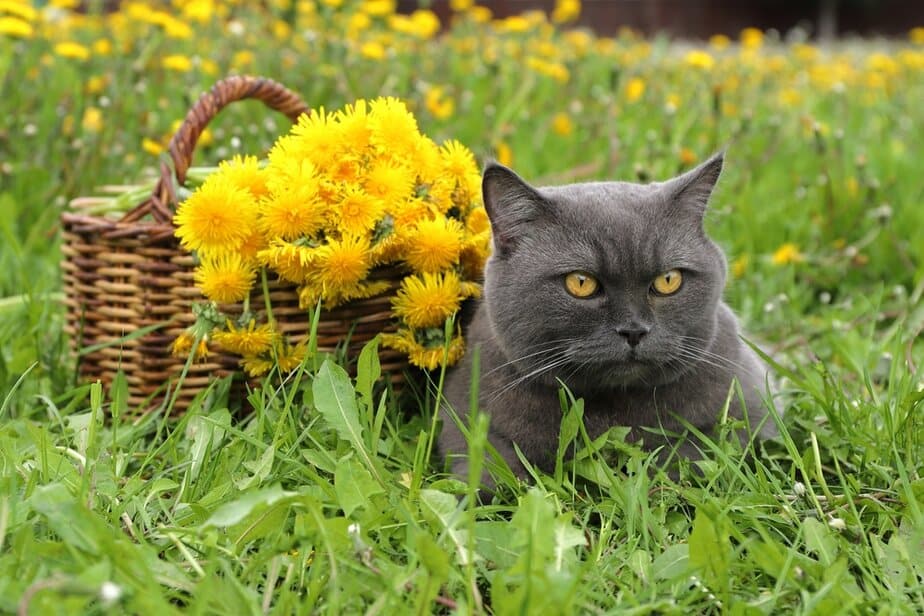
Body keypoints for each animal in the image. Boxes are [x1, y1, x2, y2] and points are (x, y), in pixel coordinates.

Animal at [440, 154, 780, 486]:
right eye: (580, 283)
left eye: (669, 280)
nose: (634, 330)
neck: (613, 414)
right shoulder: (466, 415)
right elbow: (490, 468)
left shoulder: (752, 404)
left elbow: (698, 454)